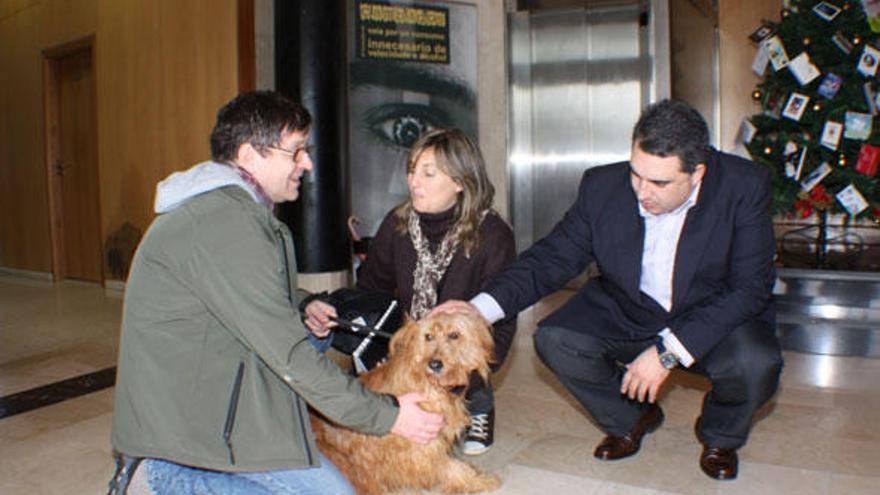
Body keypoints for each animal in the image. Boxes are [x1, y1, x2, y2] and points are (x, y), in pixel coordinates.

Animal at [312, 316, 498, 494]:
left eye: (454, 335)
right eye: (428, 336)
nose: (434, 364)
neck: (427, 382)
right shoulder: (421, 447)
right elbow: (450, 466)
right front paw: (477, 481)